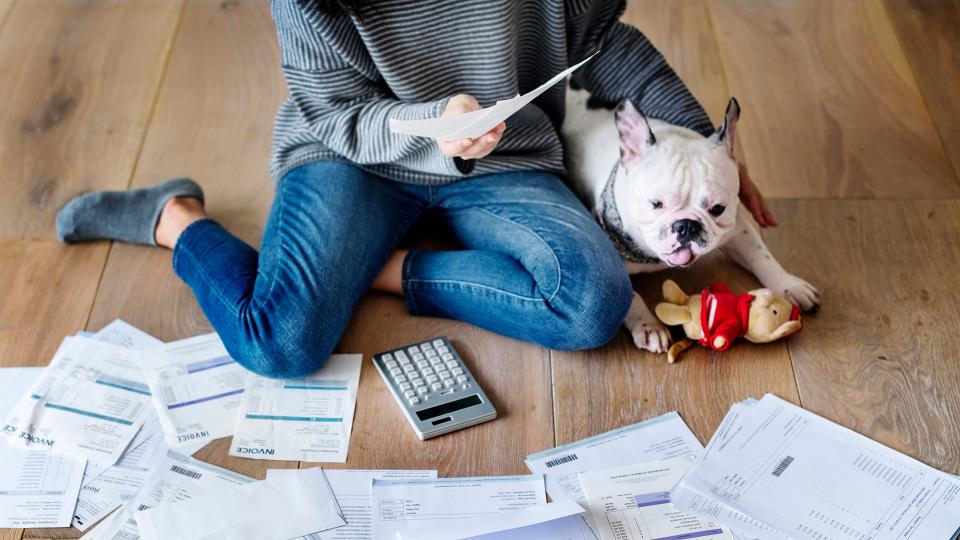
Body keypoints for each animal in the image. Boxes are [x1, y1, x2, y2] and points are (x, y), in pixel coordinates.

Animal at [564, 86, 816, 352]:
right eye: (656, 204)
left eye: (718, 208)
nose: (686, 225)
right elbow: (629, 295)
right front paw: (648, 326)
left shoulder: (737, 229)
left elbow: (762, 255)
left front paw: (790, 285)